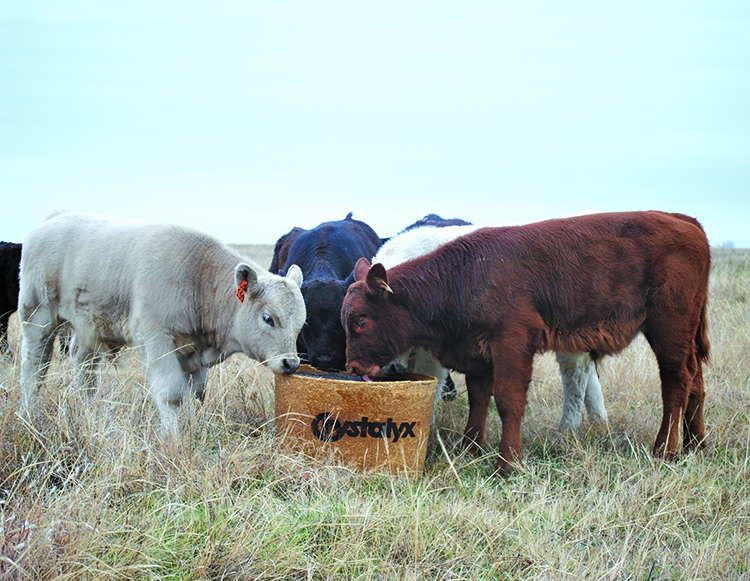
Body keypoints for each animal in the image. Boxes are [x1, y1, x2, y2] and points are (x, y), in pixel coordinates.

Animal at [340, 211, 712, 474]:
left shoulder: (512, 344)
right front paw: (470, 449)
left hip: (669, 329)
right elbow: (479, 400)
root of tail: (686, 221)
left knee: (676, 382)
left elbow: (508, 401)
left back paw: (665, 450)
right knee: (696, 380)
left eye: (361, 321)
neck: (464, 273)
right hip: (686, 335)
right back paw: (695, 445)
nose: (352, 366)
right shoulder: (477, 353)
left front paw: (507, 463)